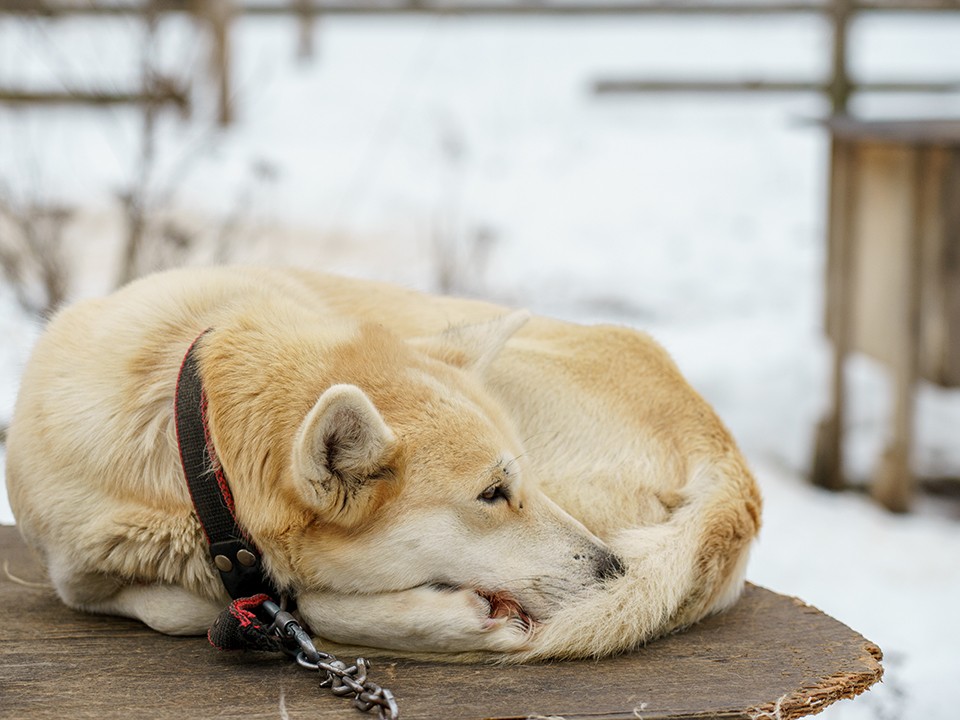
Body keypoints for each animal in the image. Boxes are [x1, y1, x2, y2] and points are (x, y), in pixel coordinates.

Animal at [3, 268, 760, 660]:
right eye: (493, 493)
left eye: (523, 484)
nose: (614, 568)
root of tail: (730, 462)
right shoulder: (75, 568)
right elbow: (172, 605)